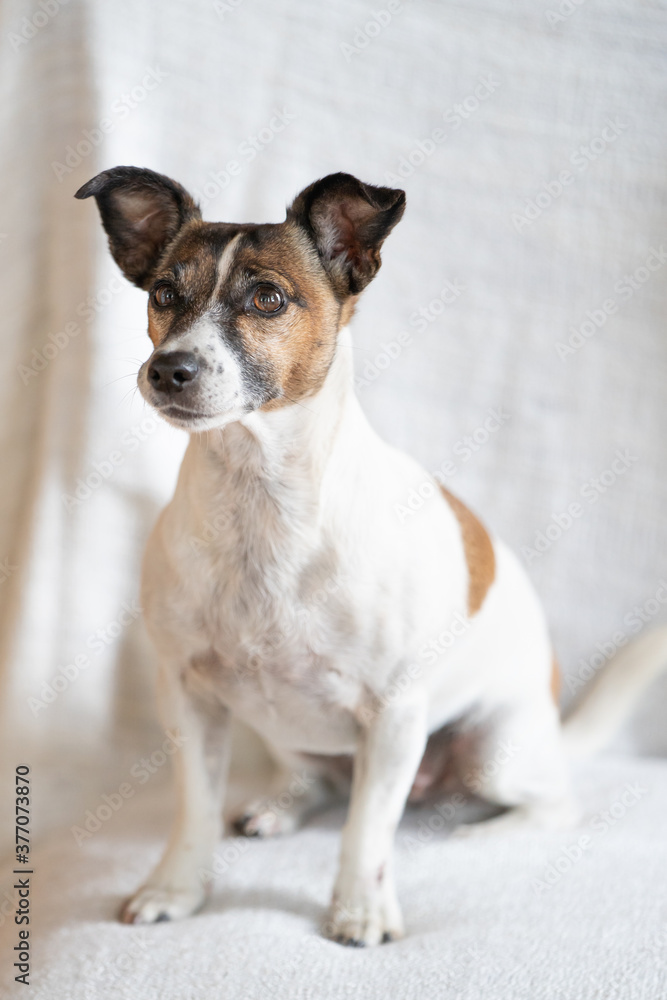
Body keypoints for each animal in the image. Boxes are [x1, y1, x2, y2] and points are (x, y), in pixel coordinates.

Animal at [75, 166, 667, 944]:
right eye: (164, 295)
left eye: (268, 299)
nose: (168, 370)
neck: (262, 501)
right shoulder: (190, 699)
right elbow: (194, 811)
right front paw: (176, 888)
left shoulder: (393, 716)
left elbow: (367, 831)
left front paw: (359, 908)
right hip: (284, 731)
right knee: (321, 780)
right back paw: (279, 806)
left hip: (493, 750)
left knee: (547, 804)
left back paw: (480, 835)